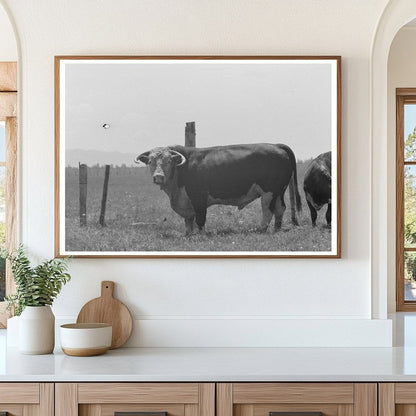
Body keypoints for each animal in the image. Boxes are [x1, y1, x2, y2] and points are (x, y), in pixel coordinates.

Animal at [136, 143, 302, 234]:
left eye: (169, 161)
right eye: (150, 161)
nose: (158, 177)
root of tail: (276, 145)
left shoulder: (199, 197)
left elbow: (200, 218)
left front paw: (201, 235)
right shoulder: (186, 202)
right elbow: (188, 221)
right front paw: (188, 234)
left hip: (269, 192)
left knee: (268, 211)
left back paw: (260, 229)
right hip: (279, 191)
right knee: (280, 208)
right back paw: (277, 229)